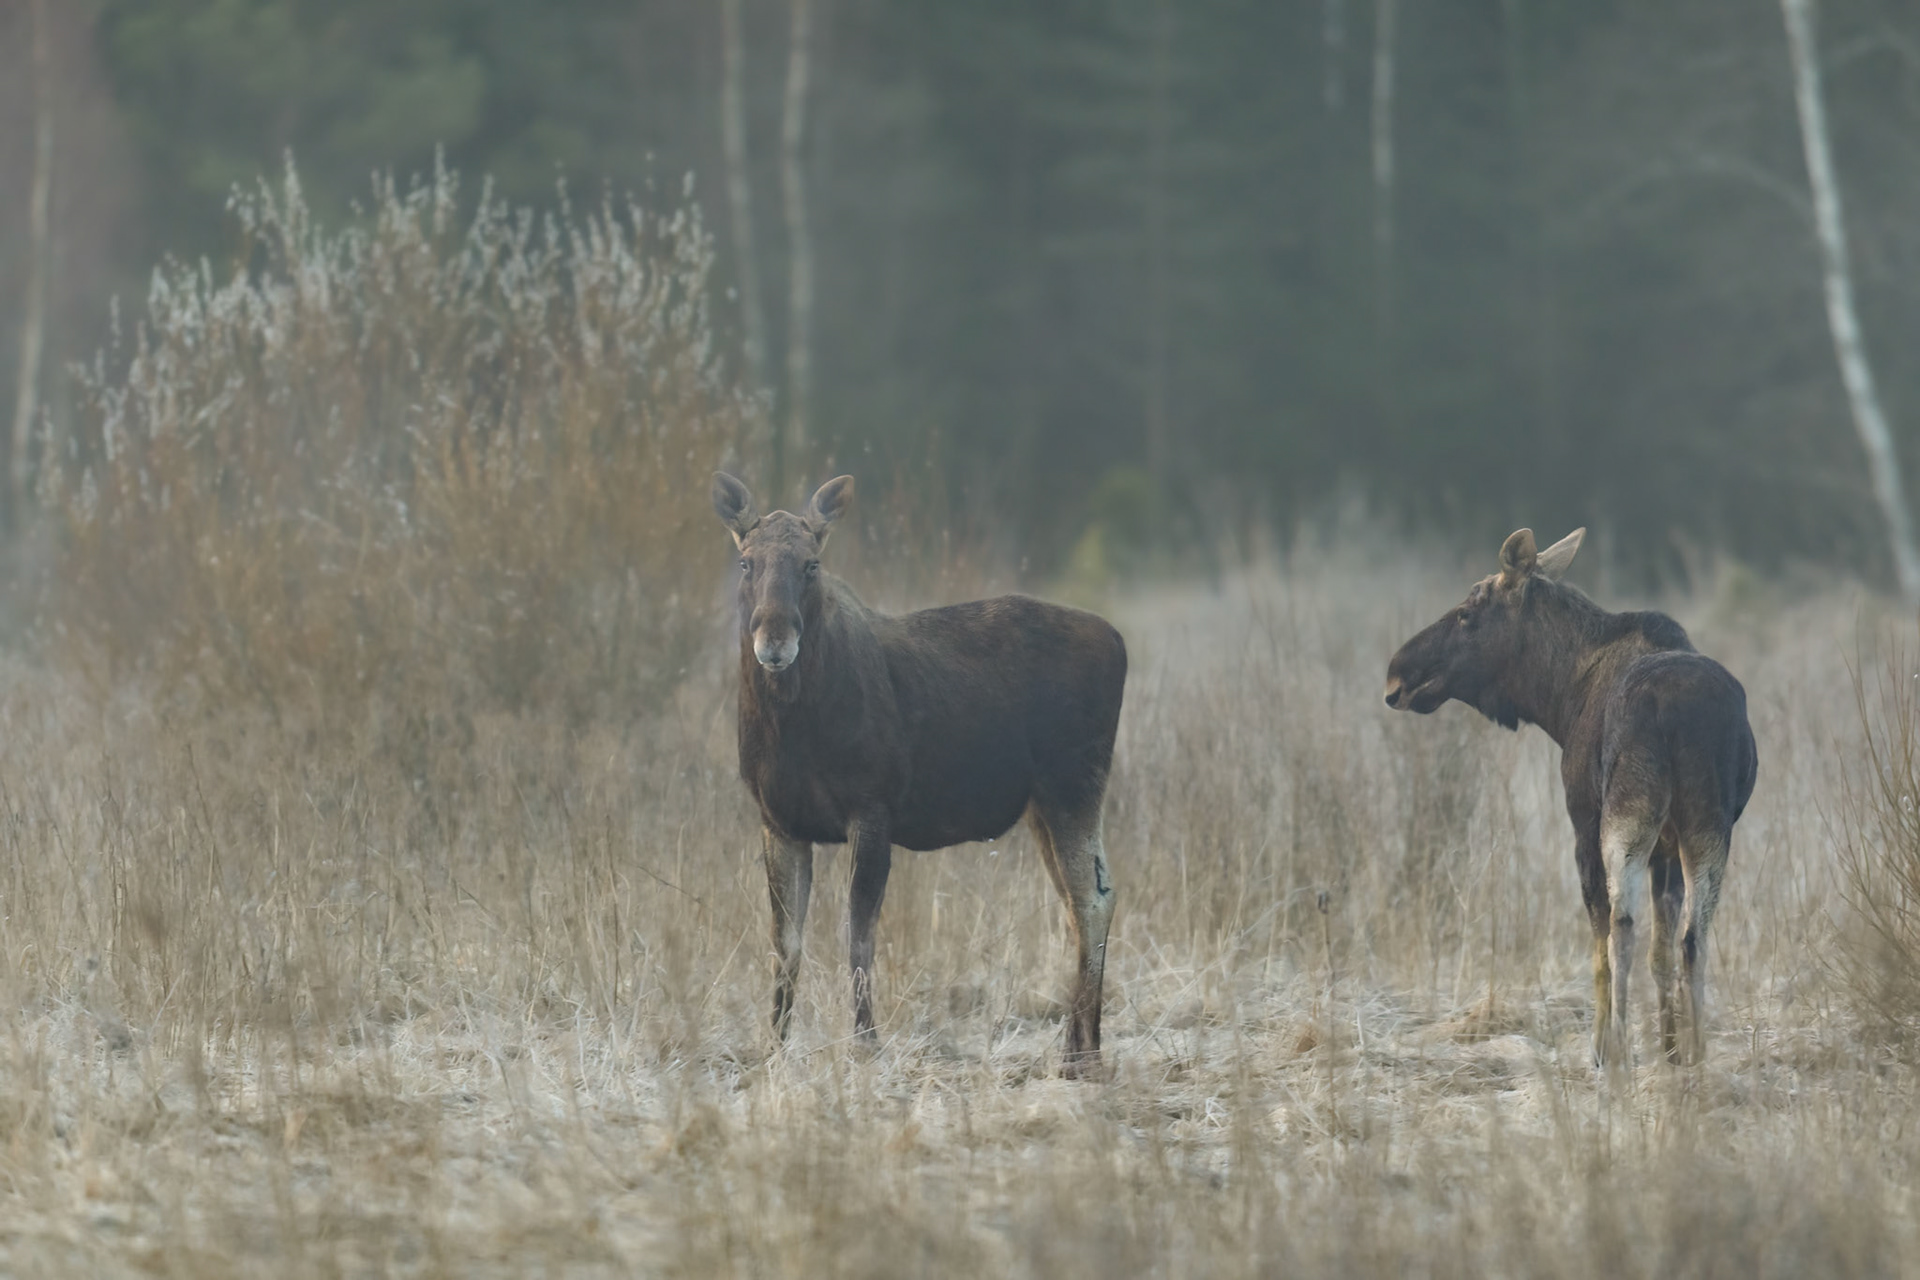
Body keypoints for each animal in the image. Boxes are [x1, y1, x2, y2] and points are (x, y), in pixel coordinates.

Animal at [712, 473, 1128, 1076]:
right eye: (746, 562)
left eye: (812, 564)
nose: (774, 641)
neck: (791, 726)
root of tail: (1119, 641)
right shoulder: (778, 821)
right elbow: (784, 943)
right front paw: (773, 1050)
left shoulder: (872, 807)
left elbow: (858, 933)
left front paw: (866, 1044)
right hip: (1042, 807)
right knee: (1077, 904)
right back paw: (1077, 1047)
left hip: (1075, 785)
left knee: (1095, 899)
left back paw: (1083, 1059)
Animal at [1384, 528, 1757, 1072]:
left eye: (1467, 613)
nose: (1396, 674)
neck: (1558, 696)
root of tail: (1673, 713)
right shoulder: (1667, 849)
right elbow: (1662, 952)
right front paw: (1668, 1051)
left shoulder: (1583, 821)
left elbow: (1600, 941)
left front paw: (1602, 1048)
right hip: (1707, 826)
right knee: (1692, 936)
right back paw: (1697, 1053)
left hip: (1626, 817)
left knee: (1622, 925)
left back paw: (1620, 1047)